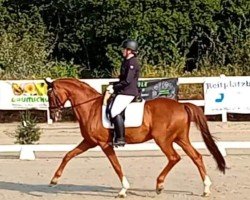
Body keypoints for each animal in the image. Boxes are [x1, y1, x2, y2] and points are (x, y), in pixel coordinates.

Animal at [45, 77, 227, 198]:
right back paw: (206, 189)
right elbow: (68, 155)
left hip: (163, 140)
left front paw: (123, 189)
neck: (90, 108)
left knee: (174, 157)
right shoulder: (89, 142)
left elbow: (116, 165)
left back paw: (159, 185)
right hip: (180, 138)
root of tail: (181, 105)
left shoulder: (104, 144)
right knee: (196, 156)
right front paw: (54, 179)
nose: (54, 115)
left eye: (50, 95)